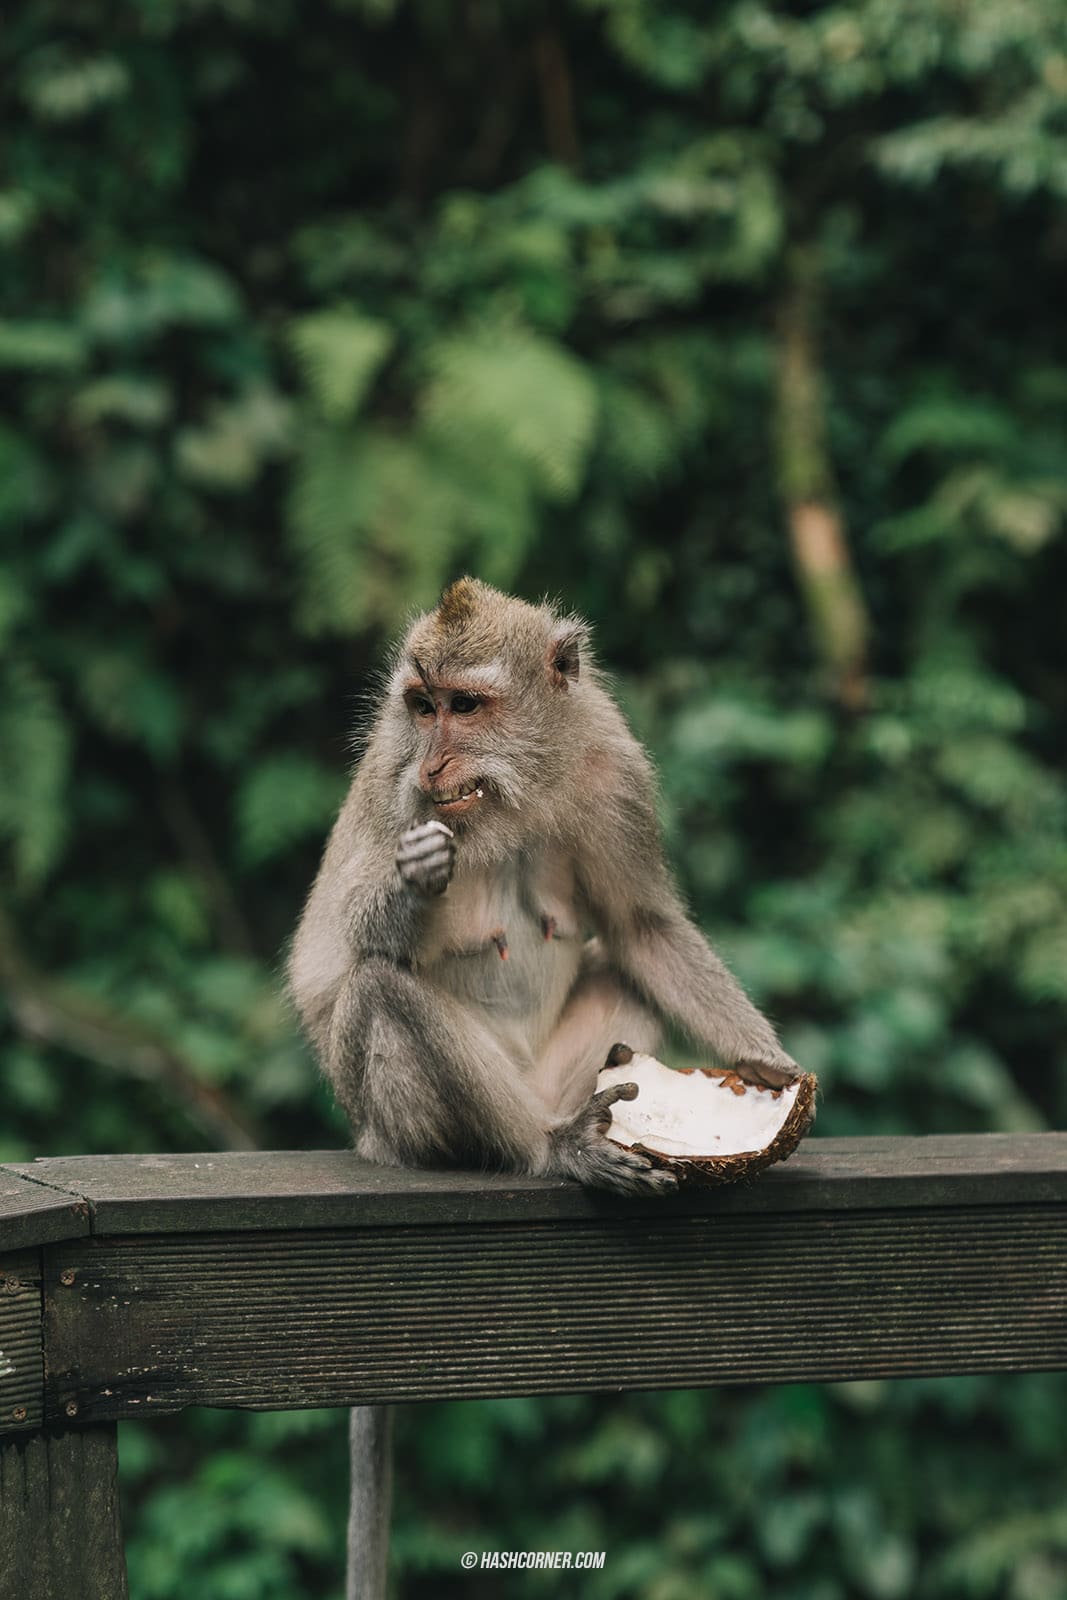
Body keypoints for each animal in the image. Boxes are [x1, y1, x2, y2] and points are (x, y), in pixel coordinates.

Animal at [287, 579, 806, 1600]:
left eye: (467, 705)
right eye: (423, 706)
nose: (439, 757)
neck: (512, 792)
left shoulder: (612, 772)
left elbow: (641, 928)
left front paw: (762, 1063)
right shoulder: (391, 783)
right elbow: (335, 959)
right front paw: (415, 884)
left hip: (560, 1074)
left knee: (624, 978)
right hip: (400, 1117)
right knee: (377, 992)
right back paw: (550, 1152)